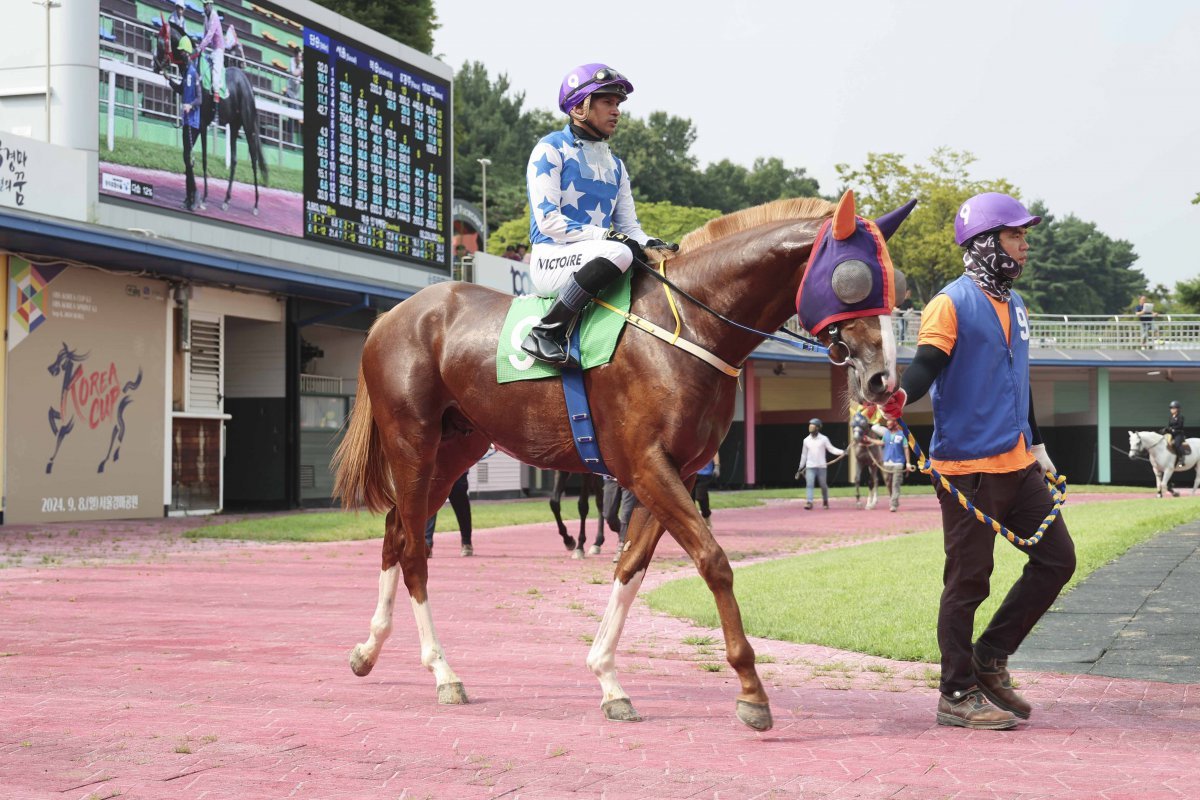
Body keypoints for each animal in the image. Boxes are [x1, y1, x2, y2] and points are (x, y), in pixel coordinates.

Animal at [151, 17, 268, 214]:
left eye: (161, 43)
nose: (155, 66)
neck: (194, 69)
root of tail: (247, 82)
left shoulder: (201, 124)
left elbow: (196, 157)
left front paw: (198, 198)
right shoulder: (200, 125)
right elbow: (195, 158)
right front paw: (194, 197)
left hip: (248, 124)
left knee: (253, 158)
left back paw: (256, 204)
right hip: (234, 125)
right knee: (234, 160)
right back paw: (226, 199)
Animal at [333, 191, 912, 734]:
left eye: (899, 287)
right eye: (853, 278)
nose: (884, 379)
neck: (689, 327)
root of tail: (392, 316)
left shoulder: (672, 471)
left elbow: (631, 565)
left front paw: (608, 679)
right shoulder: (647, 466)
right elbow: (713, 561)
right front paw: (751, 690)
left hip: (457, 447)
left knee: (395, 530)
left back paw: (368, 649)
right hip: (413, 442)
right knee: (413, 548)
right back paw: (442, 672)